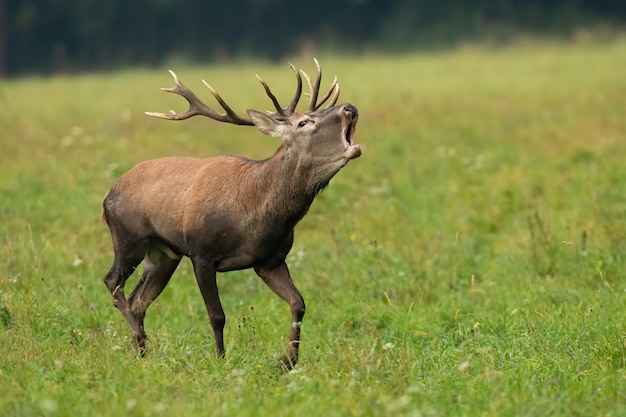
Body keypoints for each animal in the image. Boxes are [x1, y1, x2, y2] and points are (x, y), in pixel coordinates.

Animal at [102, 59, 360, 368]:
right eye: (303, 122)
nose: (350, 107)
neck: (255, 217)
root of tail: (107, 196)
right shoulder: (201, 252)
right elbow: (217, 315)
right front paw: (220, 359)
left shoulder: (270, 260)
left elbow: (298, 303)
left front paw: (288, 360)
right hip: (128, 237)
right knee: (113, 283)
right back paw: (141, 340)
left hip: (164, 254)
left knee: (138, 299)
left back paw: (142, 352)